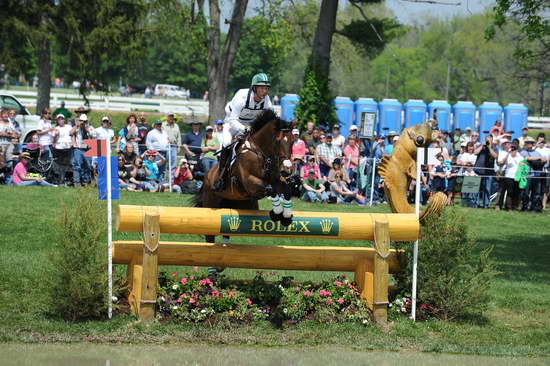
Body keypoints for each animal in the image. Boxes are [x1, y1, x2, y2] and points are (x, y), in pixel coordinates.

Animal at [194, 108, 298, 244]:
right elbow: (271, 189)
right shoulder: (250, 183)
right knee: (210, 235)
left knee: (226, 233)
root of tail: (207, 176)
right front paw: (277, 213)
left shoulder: (276, 180)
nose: (287, 170)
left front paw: (286, 217)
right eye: (277, 141)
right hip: (211, 204)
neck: (261, 153)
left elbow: (286, 189)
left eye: (293, 141)